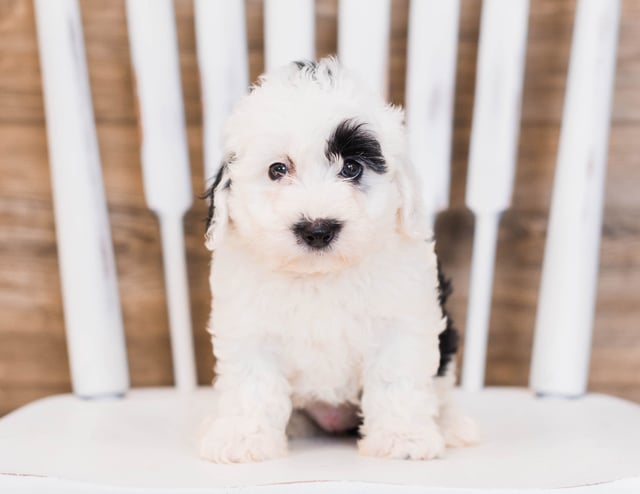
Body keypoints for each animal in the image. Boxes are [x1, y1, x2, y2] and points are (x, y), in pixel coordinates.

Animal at [200, 58, 476, 464]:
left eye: (351, 168)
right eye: (277, 170)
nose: (317, 229)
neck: (321, 276)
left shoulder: (403, 320)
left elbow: (396, 378)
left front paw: (403, 438)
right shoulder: (249, 329)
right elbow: (253, 385)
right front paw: (243, 439)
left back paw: (454, 426)